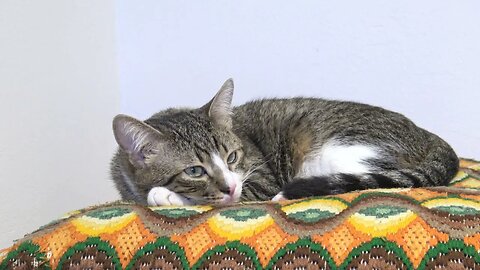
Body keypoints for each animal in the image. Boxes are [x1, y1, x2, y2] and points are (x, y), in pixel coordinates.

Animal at [110, 79, 460, 206]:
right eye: (195, 171)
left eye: (232, 157)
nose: (230, 186)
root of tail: (428, 136)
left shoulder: (259, 180)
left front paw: (165, 195)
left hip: (337, 150)